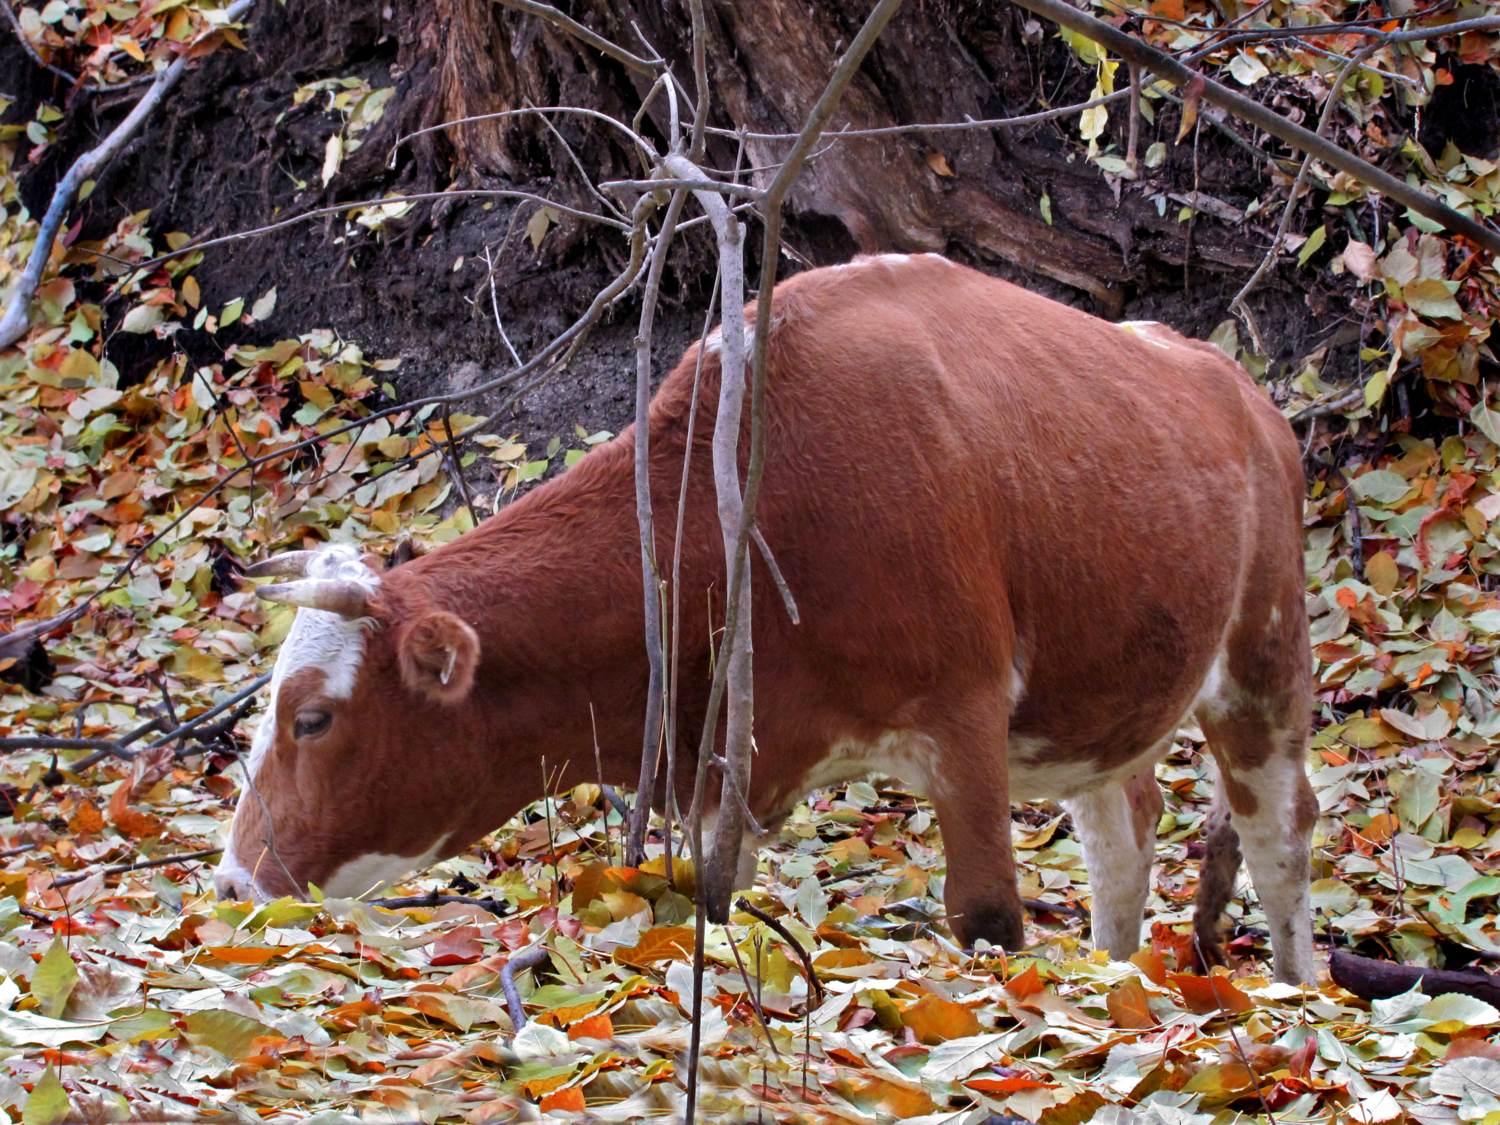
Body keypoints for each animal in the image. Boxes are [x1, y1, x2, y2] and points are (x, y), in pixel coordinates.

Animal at [211, 253, 1314, 984]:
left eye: (313, 718)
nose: (231, 882)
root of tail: (1232, 382)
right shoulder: (730, 762)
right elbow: (712, 901)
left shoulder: (962, 721)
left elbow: (988, 916)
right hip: (1106, 700)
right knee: (1124, 833)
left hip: (1263, 659)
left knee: (1279, 831)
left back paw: (1300, 999)